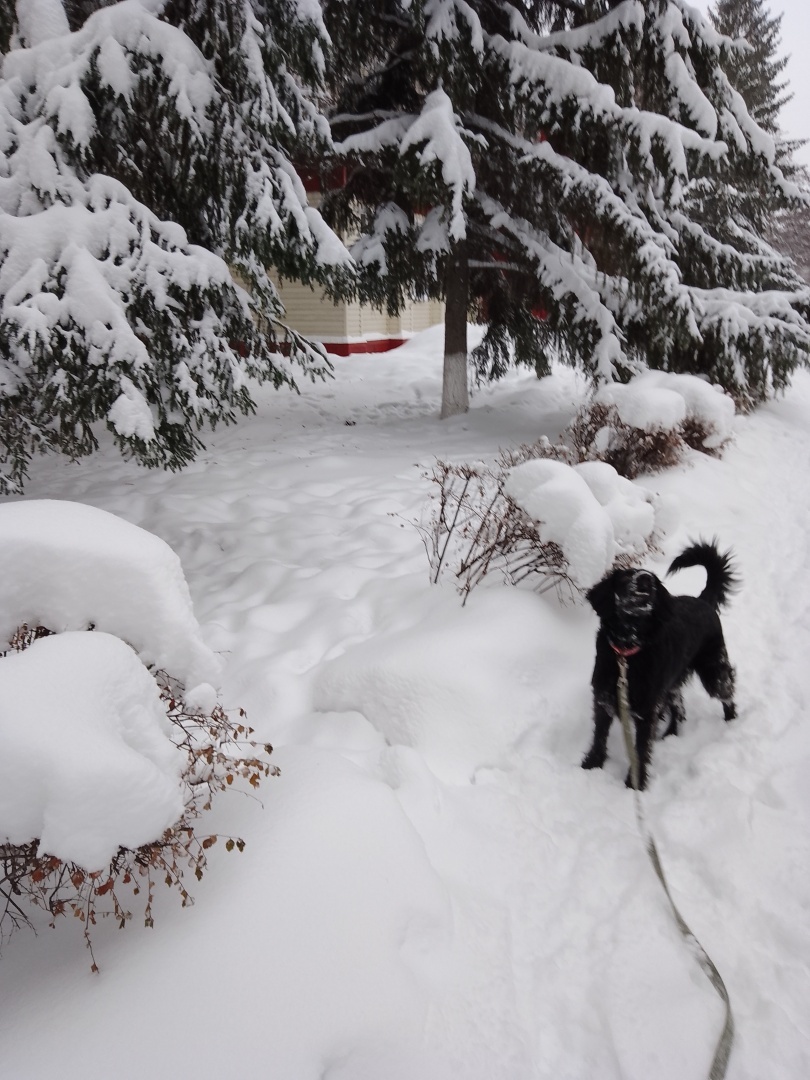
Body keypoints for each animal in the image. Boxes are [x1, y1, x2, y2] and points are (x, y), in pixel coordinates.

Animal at [578, 544, 738, 790]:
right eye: (625, 576)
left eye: (652, 579)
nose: (645, 579)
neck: (628, 651)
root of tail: (703, 600)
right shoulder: (604, 700)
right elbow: (599, 737)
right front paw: (592, 764)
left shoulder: (646, 712)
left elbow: (641, 750)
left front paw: (634, 784)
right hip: (670, 684)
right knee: (680, 709)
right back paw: (670, 734)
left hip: (712, 671)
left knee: (727, 690)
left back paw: (731, 721)